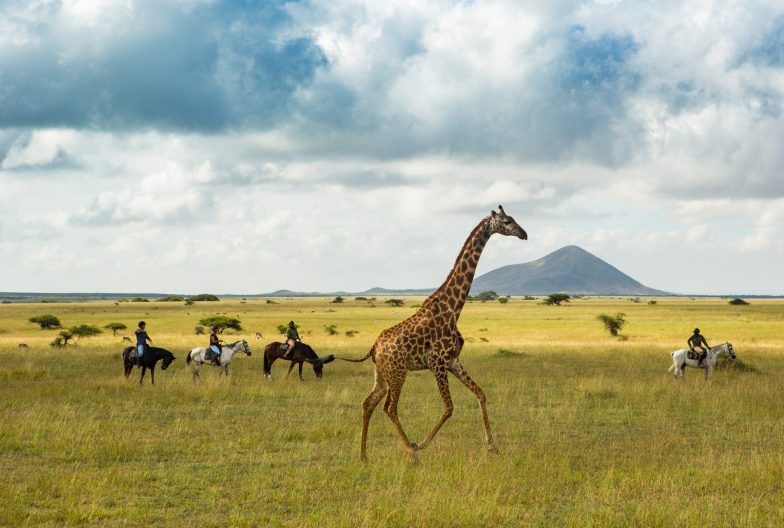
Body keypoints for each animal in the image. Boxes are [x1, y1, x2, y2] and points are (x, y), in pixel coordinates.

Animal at [336, 204, 528, 460]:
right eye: (507, 222)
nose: (524, 234)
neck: (454, 309)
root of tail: (374, 347)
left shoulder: (453, 361)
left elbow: (481, 394)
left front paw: (493, 446)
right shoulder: (437, 363)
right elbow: (449, 408)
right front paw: (420, 444)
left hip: (382, 375)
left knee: (368, 403)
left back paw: (363, 455)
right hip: (398, 373)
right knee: (390, 408)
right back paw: (411, 452)